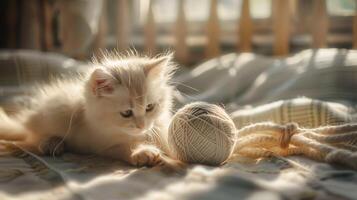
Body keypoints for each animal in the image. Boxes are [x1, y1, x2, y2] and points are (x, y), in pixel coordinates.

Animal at [0, 52, 177, 167]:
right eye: (126, 113)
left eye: (149, 107)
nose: (142, 126)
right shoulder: (102, 145)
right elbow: (124, 147)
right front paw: (142, 153)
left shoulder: (159, 128)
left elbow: (168, 141)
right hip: (58, 111)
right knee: (33, 137)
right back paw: (51, 143)